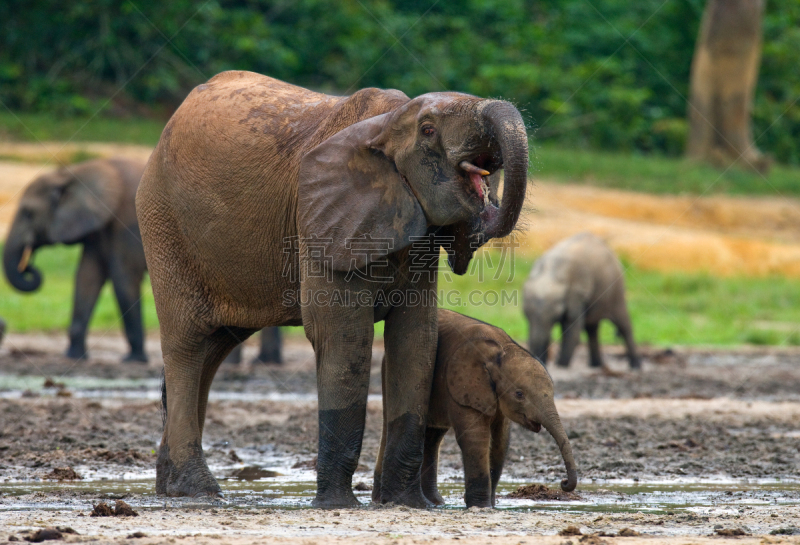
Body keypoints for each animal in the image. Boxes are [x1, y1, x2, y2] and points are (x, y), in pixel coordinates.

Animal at [3, 157, 148, 362]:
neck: (70, 173)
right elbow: (86, 278)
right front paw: (74, 356)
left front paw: (133, 360)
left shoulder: (127, 222)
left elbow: (124, 279)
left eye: (28, 213)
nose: (28, 266)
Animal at [136, 71, 532, 506]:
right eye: (429, 130)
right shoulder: (322, 224)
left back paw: (171, 487)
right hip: (164, 225)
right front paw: (339, 504)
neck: (387, 124)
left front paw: (405, 503)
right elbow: (344, 336)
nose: (485, 211)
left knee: (214, 347)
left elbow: (415, 338)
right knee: (188, 346)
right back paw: (199, 490)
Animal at [372, 308, 580, 508]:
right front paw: (481, 506)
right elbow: (476, 437)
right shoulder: (464, 386)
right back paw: (381, 500)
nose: (563, 483)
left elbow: (500, 441)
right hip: (390, 370)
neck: (502, 348)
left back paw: (435, 502)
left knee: (433, 436)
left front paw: (491, 505)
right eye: (519, 394)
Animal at [520, 232, 640, 368]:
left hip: (616, 288)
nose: (543, 362)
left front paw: (561, 366)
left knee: (624, 324)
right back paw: (596, 365)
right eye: (526, 315)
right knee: (592, 329)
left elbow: (572, 331)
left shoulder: (576, 294)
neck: (550, 273)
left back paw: (635, 366)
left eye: (556, 314)